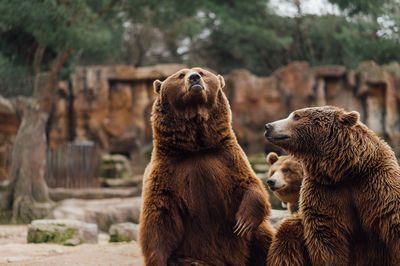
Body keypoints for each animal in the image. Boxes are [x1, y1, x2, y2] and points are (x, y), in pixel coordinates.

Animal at [139, 67, 274, 264]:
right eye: (180, 75)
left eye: (202, 72)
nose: (194, 78)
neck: (197, 148)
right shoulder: (166, 173)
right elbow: (159, 218)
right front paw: (158, 260)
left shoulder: (228, 159)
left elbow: (250, 184)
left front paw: (243, 223)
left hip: (253, 242)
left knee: (267, 242)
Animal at [266, 106, 400, 266]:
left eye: (296, 116)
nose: (268, 126)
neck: (345, 171)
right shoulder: (325, 190)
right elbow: (327, 235)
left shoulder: (377, 183)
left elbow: (392, 222)